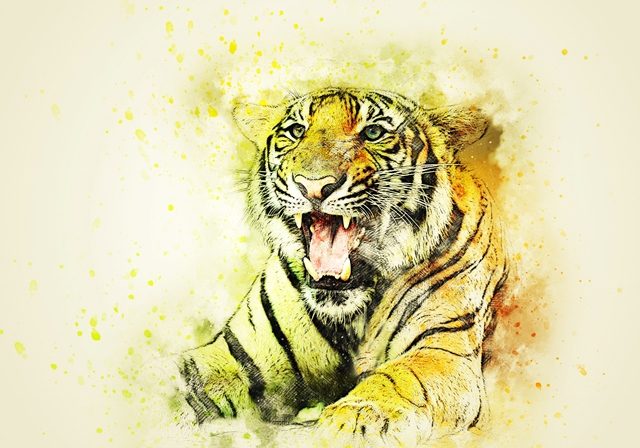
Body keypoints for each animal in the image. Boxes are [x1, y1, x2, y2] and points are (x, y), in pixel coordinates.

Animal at [177, 87, 509, 446]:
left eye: (373, 133)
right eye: (296, 131)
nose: (312, 185)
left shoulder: (443, 348)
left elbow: (400, 376)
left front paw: (353, 419)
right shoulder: (234, 356)